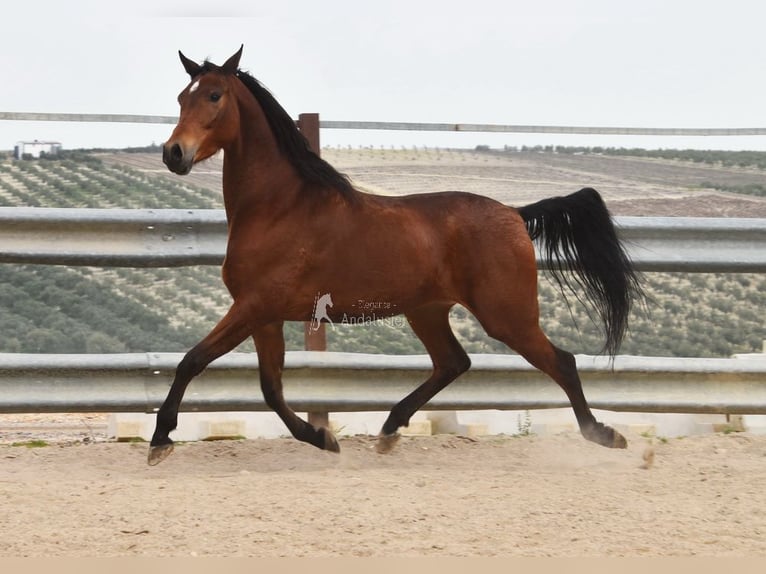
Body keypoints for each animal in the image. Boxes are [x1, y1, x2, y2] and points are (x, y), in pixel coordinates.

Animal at [151, 45, 644, 466]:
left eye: (214, 95)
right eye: (181, 97)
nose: (173, 153)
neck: (280, 207)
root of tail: (515, 214)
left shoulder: (255, 306)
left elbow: (193, 360)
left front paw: (160, 440)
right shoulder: (263, 314)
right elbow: (270, 388)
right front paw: (323, 439)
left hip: (507, 316)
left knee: (561, 362)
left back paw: (604, 434)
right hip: (428, 311)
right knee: (453, 362)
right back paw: (389, 430)